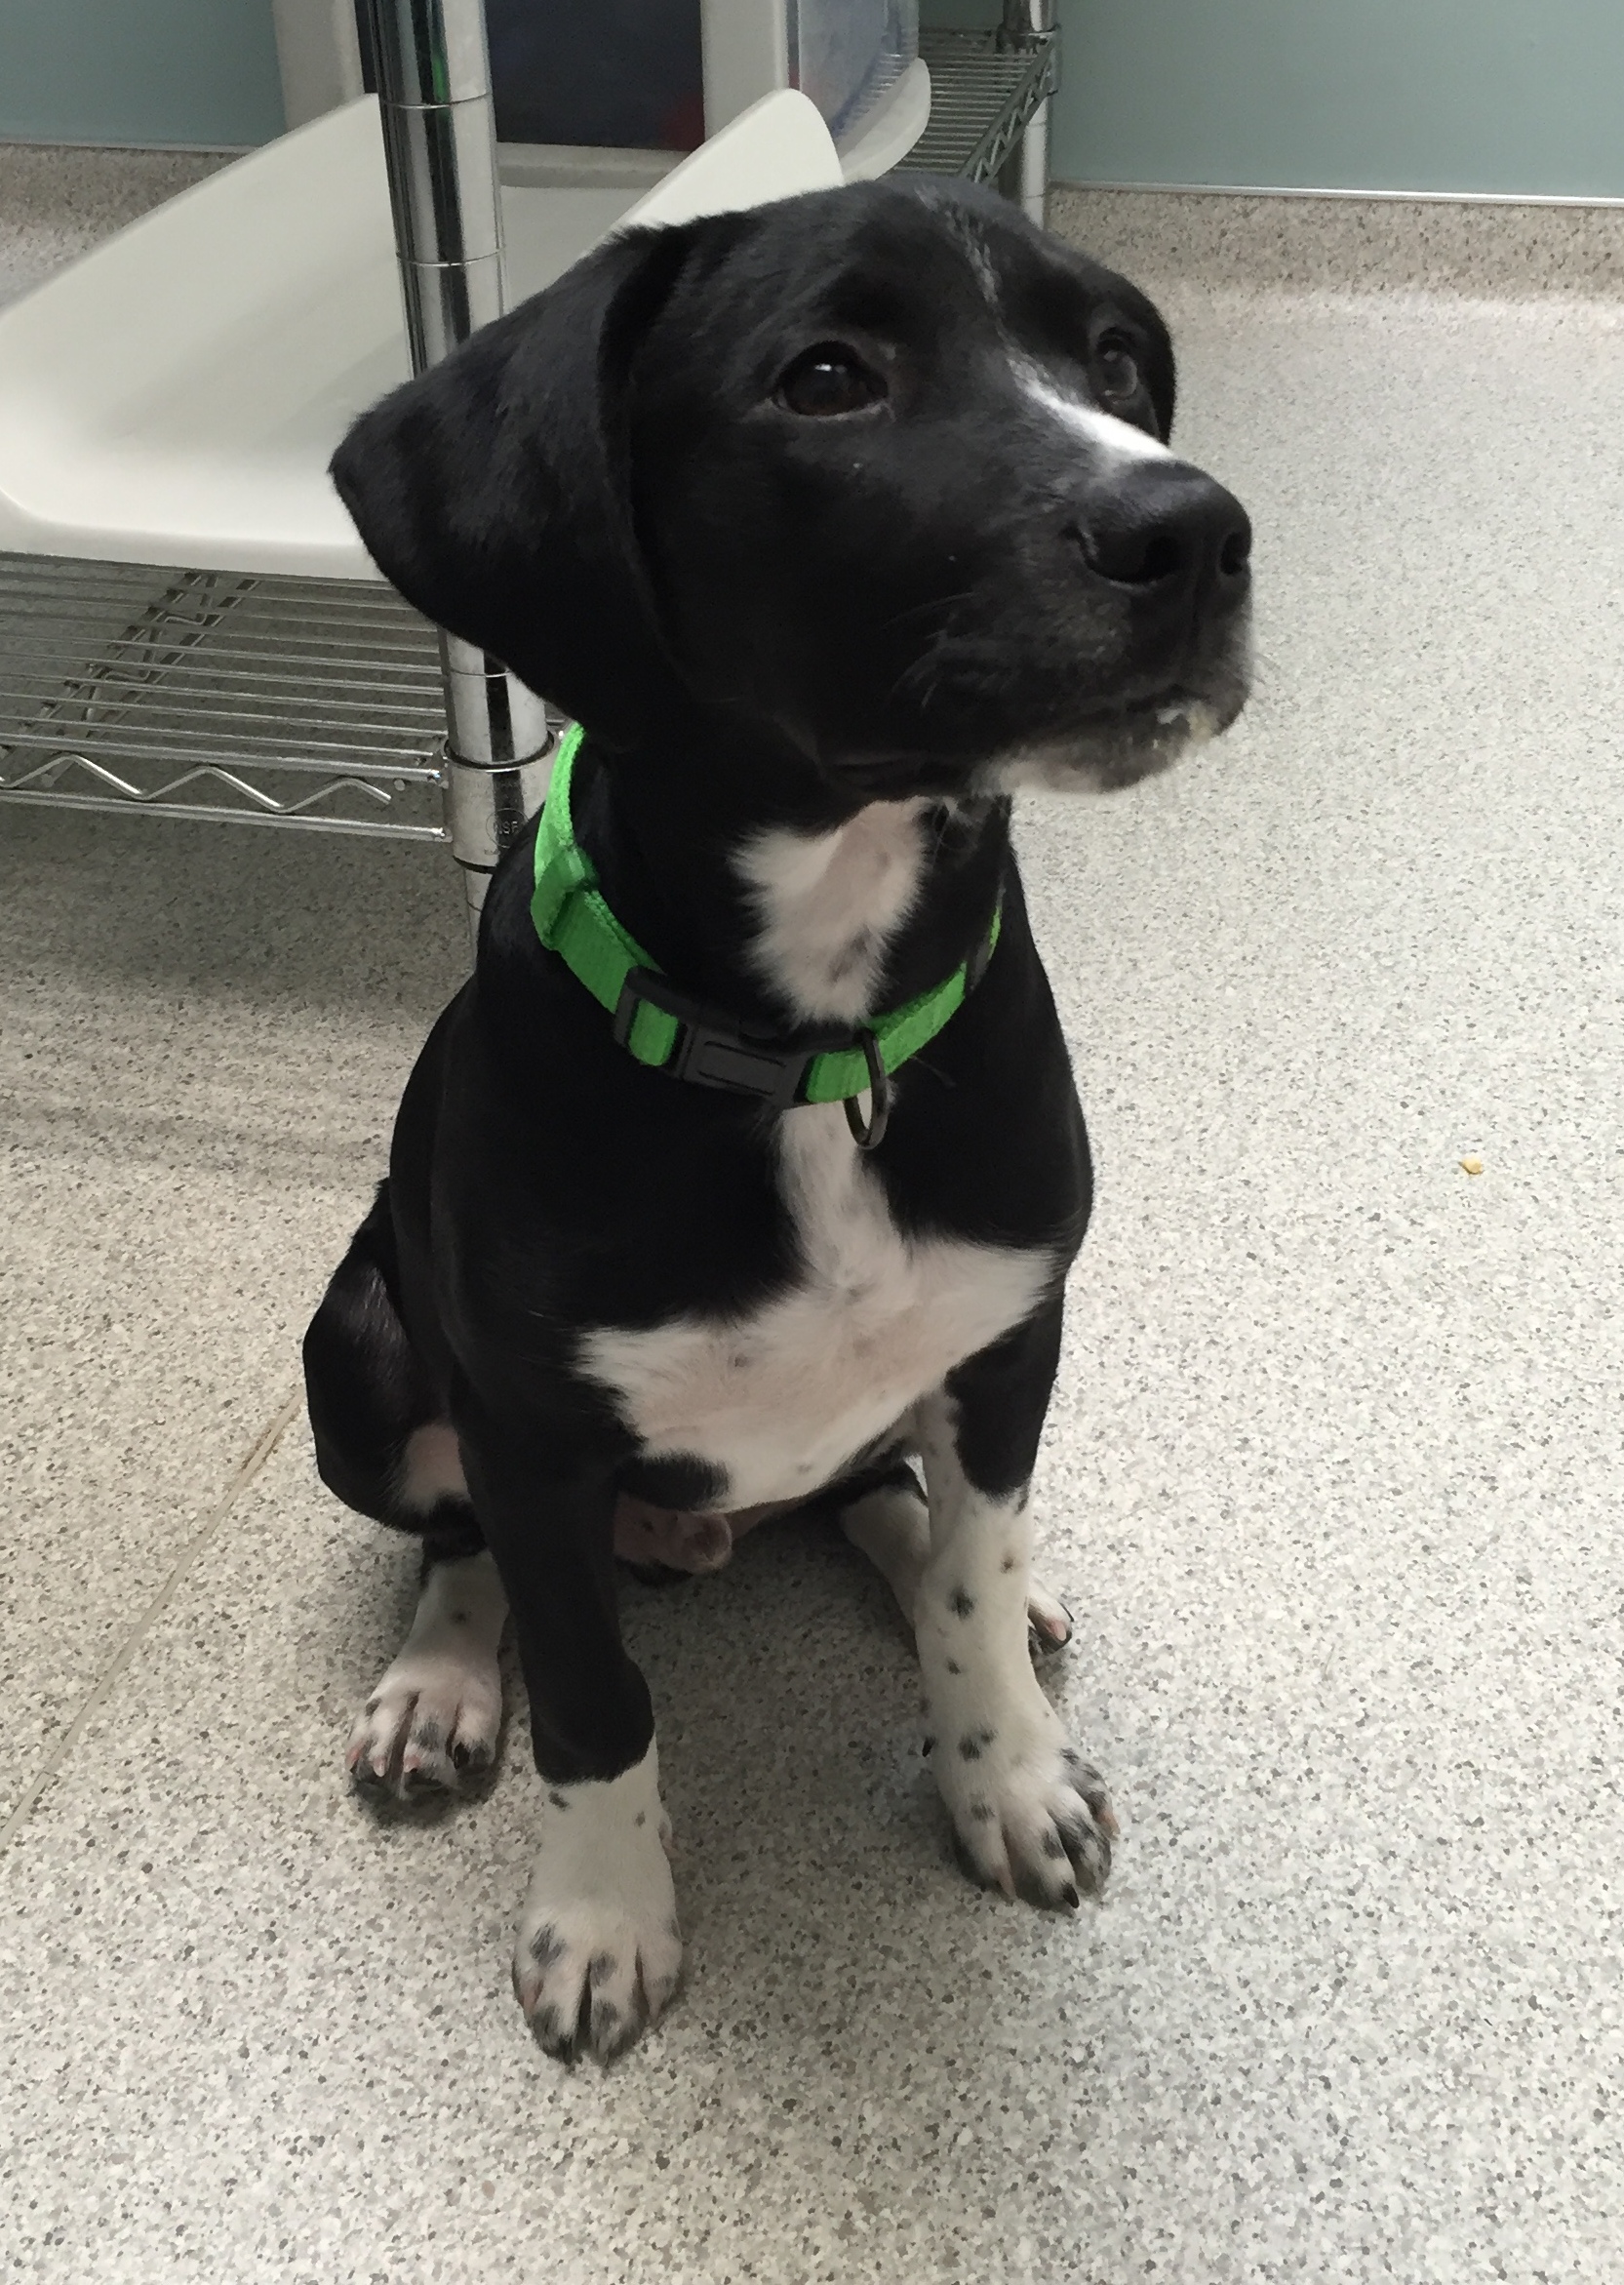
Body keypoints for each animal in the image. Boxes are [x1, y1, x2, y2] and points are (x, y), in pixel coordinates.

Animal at [304, 176, 1251, 2065]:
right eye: (827, 376)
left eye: (1117, 357)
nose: (1195, 529)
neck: (818, 1043)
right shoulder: (533, 1425)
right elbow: (589, 1691)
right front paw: (604, 1916)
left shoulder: (1019, 1327)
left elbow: (965, 1570)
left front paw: (1004, 1774)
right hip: (358, 1356)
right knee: (461, 1535)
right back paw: (440, 1681)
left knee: (895, 1493)